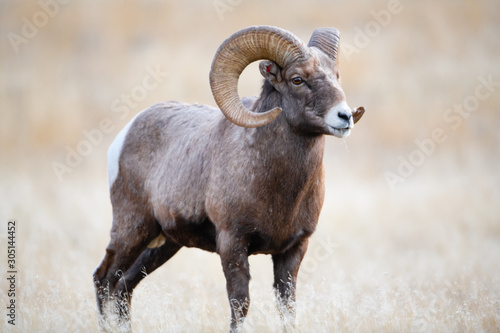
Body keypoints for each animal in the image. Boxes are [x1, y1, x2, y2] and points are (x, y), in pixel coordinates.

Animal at [93, 25, 364, 330]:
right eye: (297, 79)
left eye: (336, 75)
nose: (344, 116)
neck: (278, 190)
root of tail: (125, 134)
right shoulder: (232, 243)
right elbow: (240, 304)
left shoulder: (294, 249)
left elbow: (287, 308)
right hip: (132, 230)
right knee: (104, 280)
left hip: (163, 244)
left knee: (123, 287)